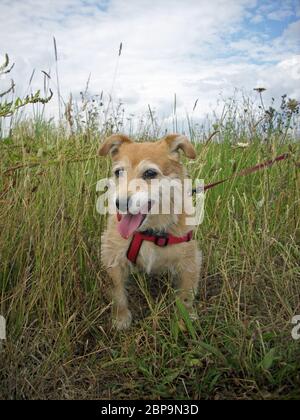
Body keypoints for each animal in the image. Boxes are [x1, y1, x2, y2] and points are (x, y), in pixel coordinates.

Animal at [99, 133, 202, 330]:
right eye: (119, 172)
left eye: (150, 173)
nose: (120, 203)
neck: (149, 231)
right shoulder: (112, 257)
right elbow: (118, 294)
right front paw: (121, 319)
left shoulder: (189, 262)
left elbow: (186, 296)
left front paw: (183, 321)